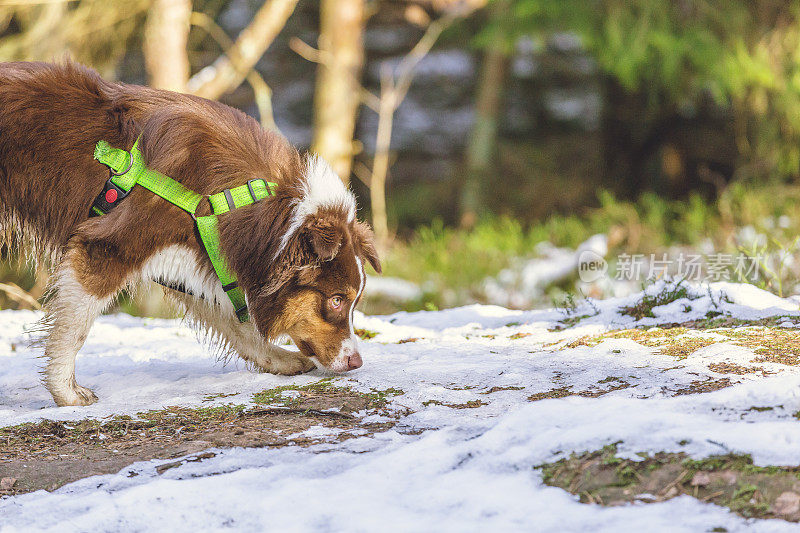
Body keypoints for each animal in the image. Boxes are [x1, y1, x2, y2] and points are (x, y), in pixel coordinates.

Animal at [0, 61, 382, 404]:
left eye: (353, 301)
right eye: (336, 300)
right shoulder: (107, 247)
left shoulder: (196, 257)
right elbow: (74, 330)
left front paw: (279, 360)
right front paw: (66, 392)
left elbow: (236, 323)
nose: (357, 362)